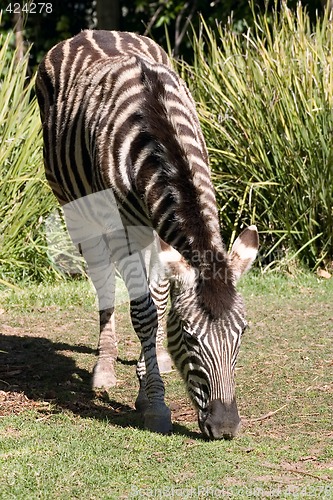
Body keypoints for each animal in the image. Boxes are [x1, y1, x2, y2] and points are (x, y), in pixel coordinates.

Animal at [37, 29, 260, 440]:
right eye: (189, 336)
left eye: (243, 332)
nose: (224, 428)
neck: (161, 132)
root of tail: (94, 32)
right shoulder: (126, 227)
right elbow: (143, 311)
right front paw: (154, 403)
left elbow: (158, 301)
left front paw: (151, 369)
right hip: (78, 210)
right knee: (104, 284)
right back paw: (104, 366)